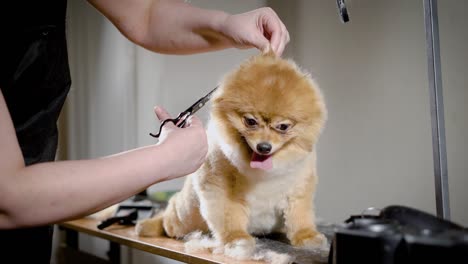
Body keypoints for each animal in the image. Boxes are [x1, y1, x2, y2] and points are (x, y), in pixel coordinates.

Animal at [135, 51, 326, 260]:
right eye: (250, 121)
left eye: (283, 126)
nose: (264, 147)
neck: (266, 173)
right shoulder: (219, 190)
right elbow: (229, 218)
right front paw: (237, 241)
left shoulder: (300, 188)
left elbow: (300, 216)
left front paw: (307, 237)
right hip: (183, 216)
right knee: (168, 219)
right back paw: (151, 225)